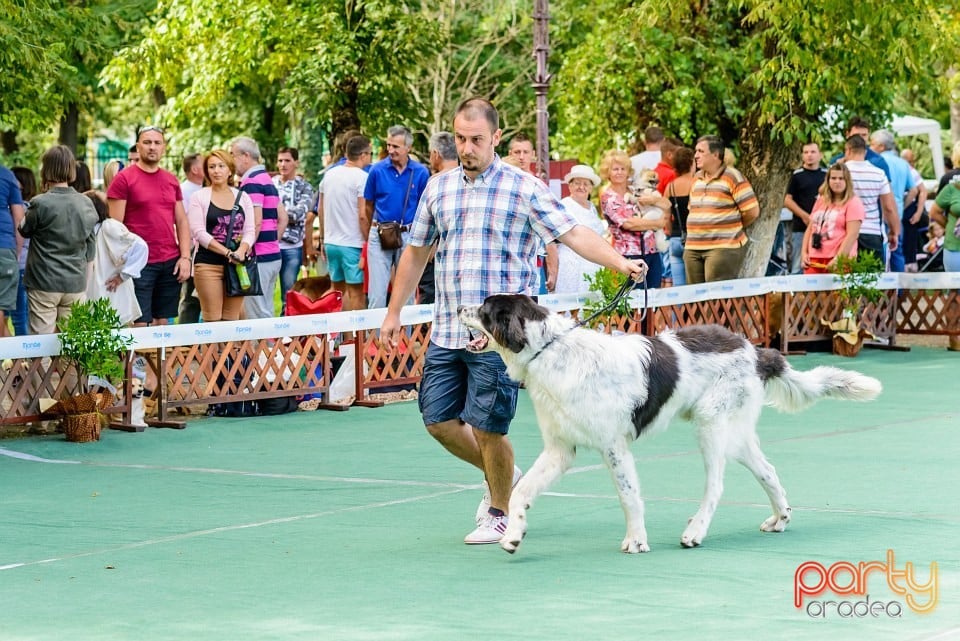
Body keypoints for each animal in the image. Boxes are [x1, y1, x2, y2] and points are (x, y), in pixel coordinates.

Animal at [462, 294, 880, 552]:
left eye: (484, 308)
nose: (458, 306)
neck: (552, 352)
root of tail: (754, 349)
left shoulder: (613, 446)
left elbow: (629, 496)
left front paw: (636, 541)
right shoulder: (560, 450)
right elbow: (521, 491)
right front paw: (513, 535)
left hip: (710, 426)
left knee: (716, 486)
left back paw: (695, 531)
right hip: (734, 433)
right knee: (768, 471)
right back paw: (780, 518)